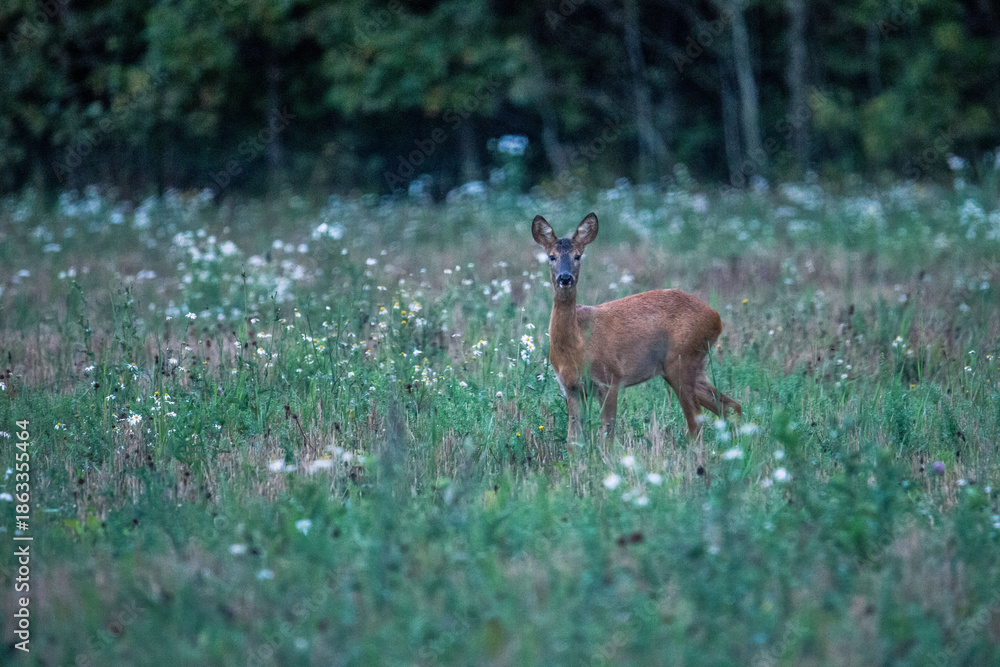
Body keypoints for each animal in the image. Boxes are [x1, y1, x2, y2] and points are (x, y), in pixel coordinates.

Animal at [532, 212, 741, 444]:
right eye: (551, 257)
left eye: (578, 256)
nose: (565, 277)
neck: (577, 342)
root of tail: (716, 317)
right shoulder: (571, 387)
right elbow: (573, 440)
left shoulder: (610, 378)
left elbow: (608, 435)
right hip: (692, 366)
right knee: (731, 406)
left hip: (681, 360)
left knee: (697, 422)